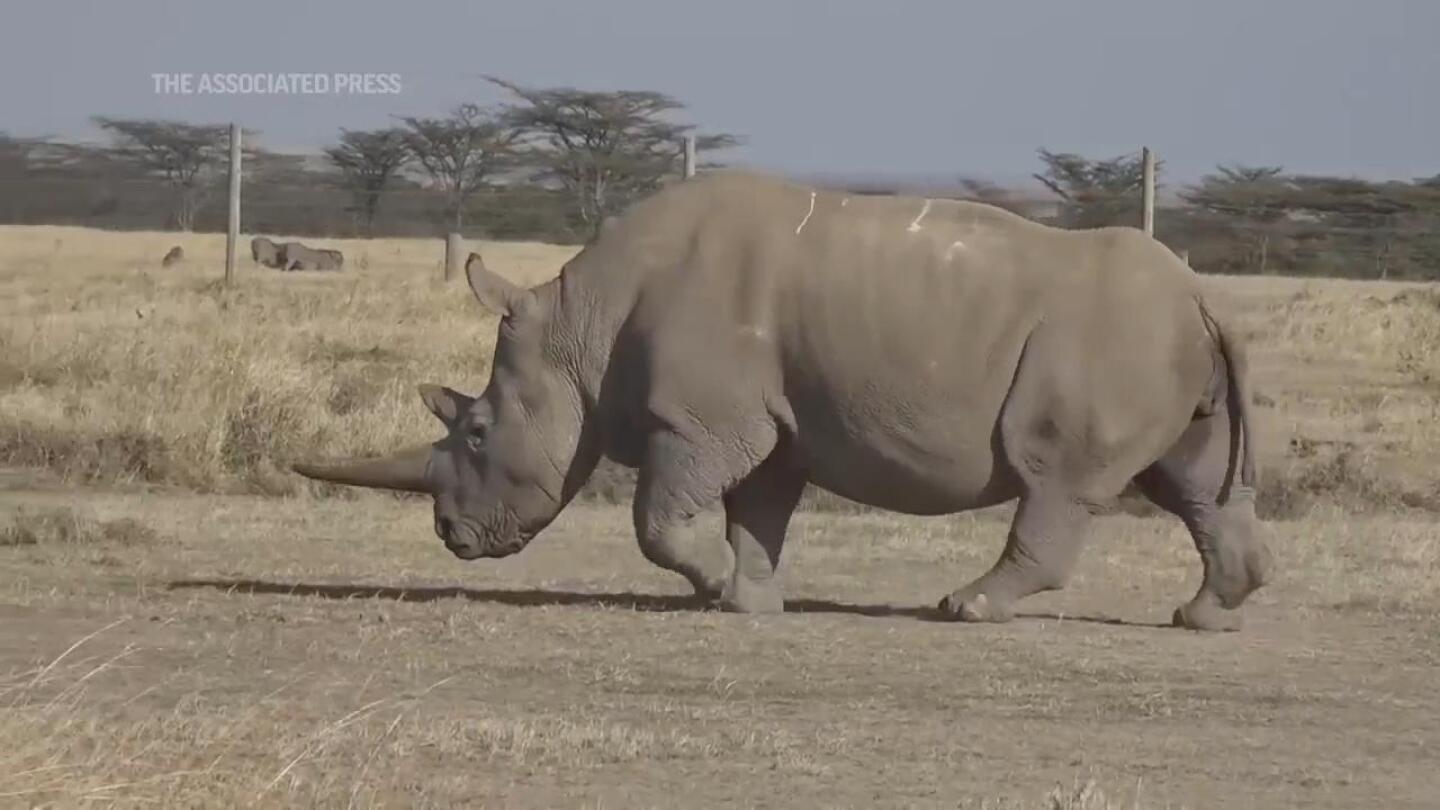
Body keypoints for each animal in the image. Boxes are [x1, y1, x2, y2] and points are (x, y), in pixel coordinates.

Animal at [289, 170, 1272, 631]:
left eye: (479, 432)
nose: (453, 538)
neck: (577, 324)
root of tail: (1205, 296)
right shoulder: (770, 422)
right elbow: (757, 514)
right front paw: (752, 597)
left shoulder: (699, 418)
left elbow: (661, 520)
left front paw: (723, 590)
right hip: (1162, 345)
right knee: (1189, 482)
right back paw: (1203, 616)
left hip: (1112, 343)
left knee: (1056, 479)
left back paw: (964, 608)